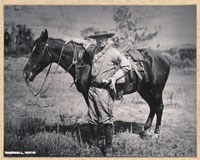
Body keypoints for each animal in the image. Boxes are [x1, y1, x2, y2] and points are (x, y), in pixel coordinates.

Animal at [23, 29, 170, 137]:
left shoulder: (88, 93)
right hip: (145, 90)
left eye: (37, 51)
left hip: (156, 91)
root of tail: (164, 59)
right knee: (152, 107)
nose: (26, 73)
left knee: (159, 107)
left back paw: (156, 133)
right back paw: (146, 130)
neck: (83, 62)